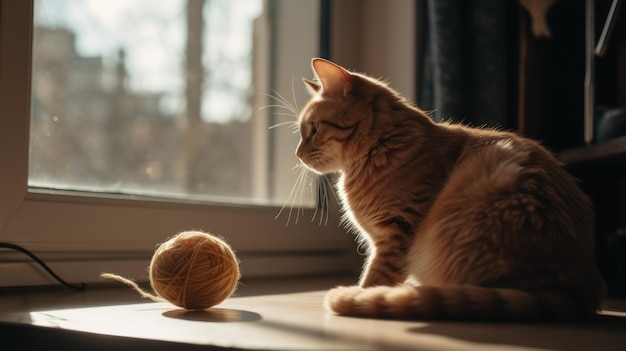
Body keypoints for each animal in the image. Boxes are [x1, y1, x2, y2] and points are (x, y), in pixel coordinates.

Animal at [294, 59, 604, 324]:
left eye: (314, 129)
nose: (297, 153)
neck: (384, 146)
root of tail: (578, 290)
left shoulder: (396, 232)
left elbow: (376, 277)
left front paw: (362, 294)